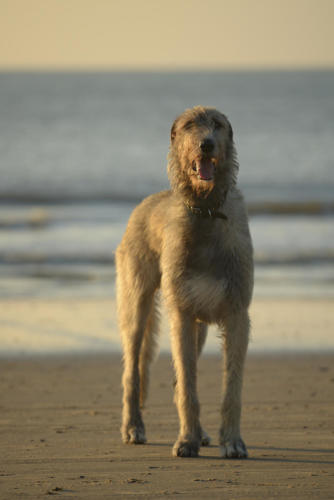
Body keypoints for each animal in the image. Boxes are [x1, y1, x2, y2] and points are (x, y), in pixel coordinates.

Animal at [115, 105, 253, 458]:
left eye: (217, 125)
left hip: (199, 325)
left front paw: (232, 440)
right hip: (137, 303)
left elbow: (232, 385)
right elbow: (188, 385)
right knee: (132, 371)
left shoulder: (236, 313)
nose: (206, 144)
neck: (206, 212)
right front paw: (187, 440)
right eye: (190, 125)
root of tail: (144, 203)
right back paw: (133, 427)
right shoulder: (181, 313)